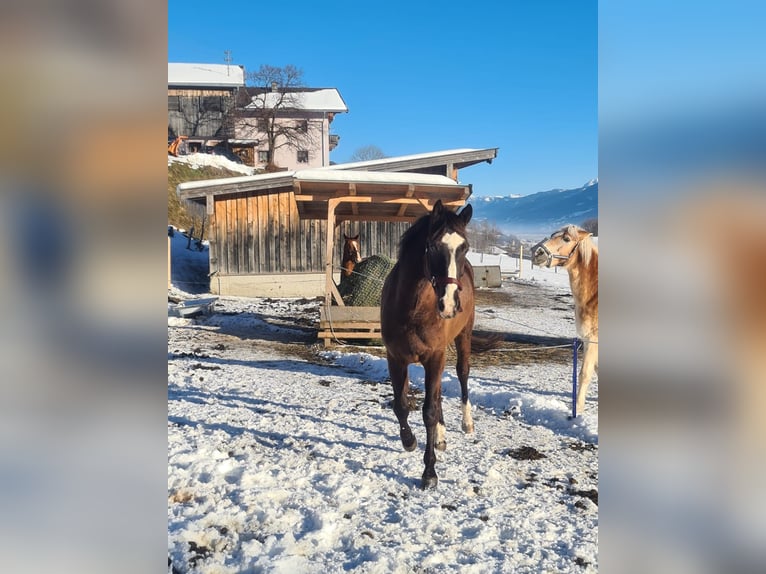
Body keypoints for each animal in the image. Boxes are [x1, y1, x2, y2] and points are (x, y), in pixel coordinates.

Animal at [380, 199, 476, 489]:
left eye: (465, 247)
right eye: (433, 247)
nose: (449, 304)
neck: (413, 310)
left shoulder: (434, 357)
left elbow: (429, 412)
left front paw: (429, 472)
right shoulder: (395, 358)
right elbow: (401, 405)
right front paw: (409, 441)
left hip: (463, 336)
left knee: (462, 374)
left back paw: (466, 423)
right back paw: (441, 437)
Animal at [532, 224, 598, 416]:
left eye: (567, 239)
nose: (538, 253)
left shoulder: (594, 339)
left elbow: (585, 373)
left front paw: (579, 409)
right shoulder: (588, 340)